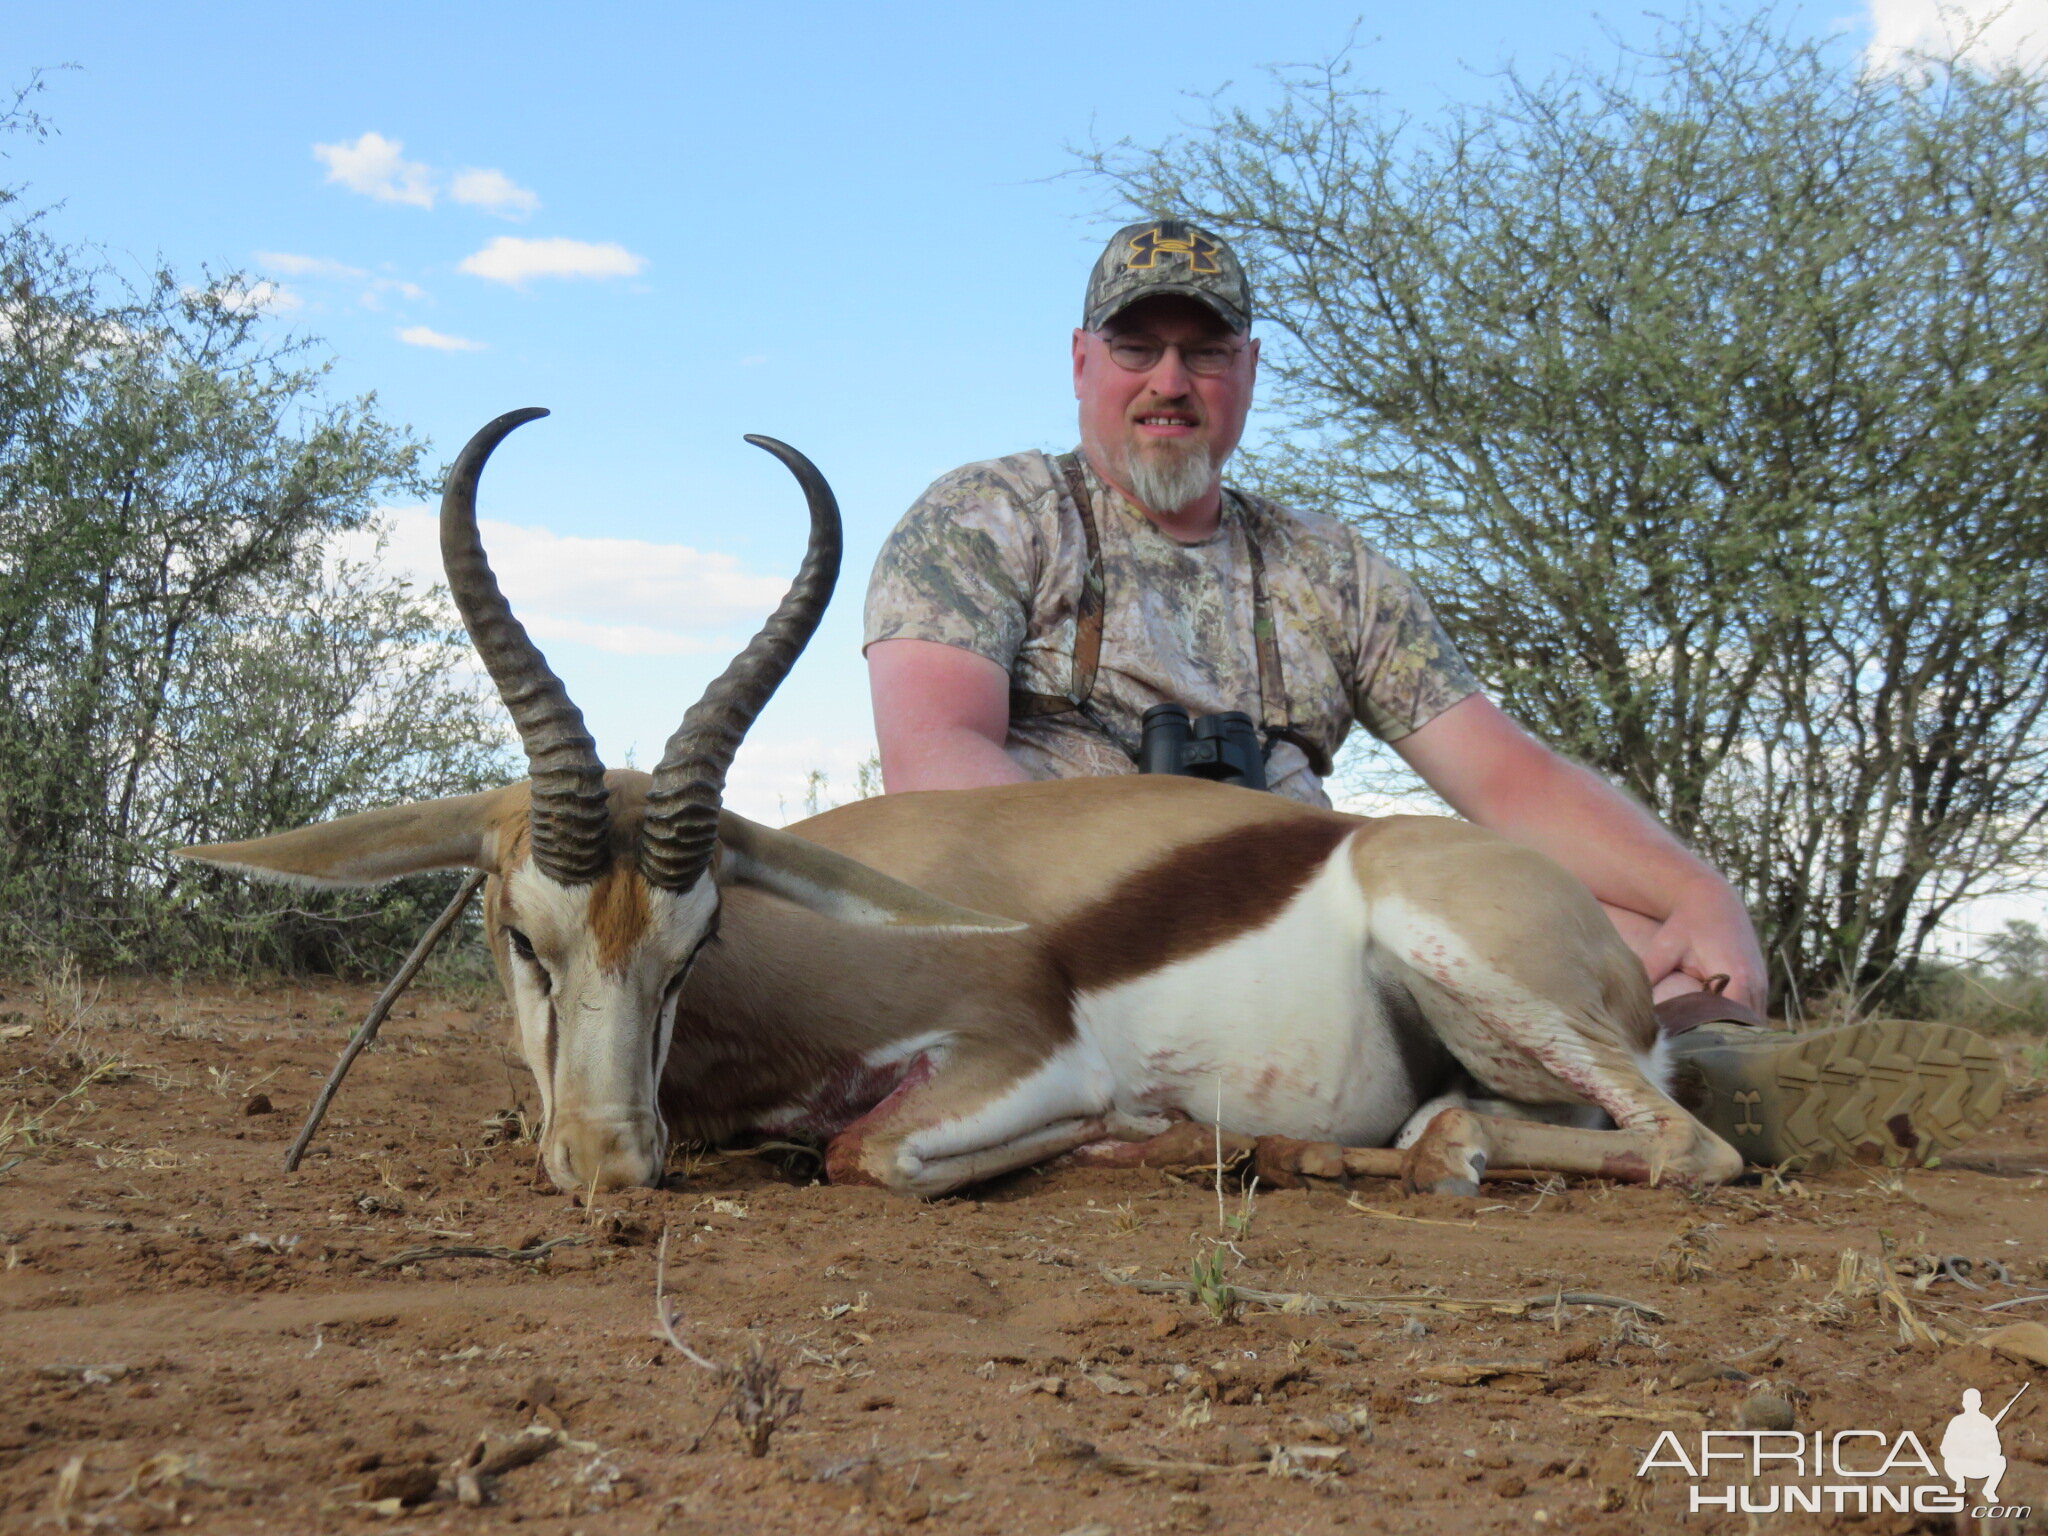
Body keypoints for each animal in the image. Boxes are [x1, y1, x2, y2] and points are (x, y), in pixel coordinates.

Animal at [184, 409, 1744, 1204]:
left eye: (696, 943)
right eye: (520, 934)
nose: (614, 1164)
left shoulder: (1020, 1053)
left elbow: (870, 1150)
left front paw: (1129, 1133)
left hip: (1465, 957)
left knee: (1679, 1146)